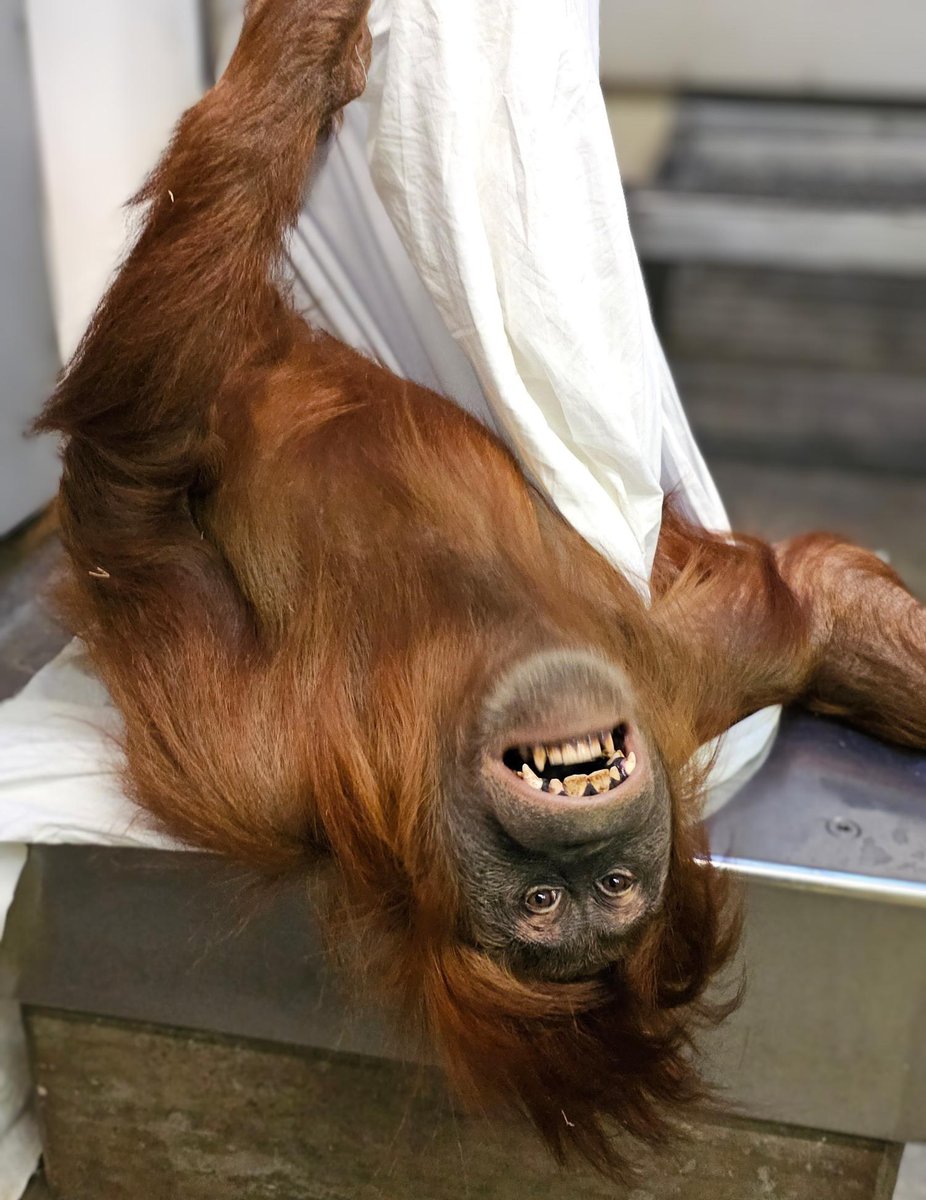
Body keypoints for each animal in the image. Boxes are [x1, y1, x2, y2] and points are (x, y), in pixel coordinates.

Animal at [35, 0, 926, 1174]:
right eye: (544, 901)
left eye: (612, 890)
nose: (587, 844)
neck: (472, 647)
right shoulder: (253, 762)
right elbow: (128, 490)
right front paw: (304, 60)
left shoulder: (691, 670)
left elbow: (821, 613)